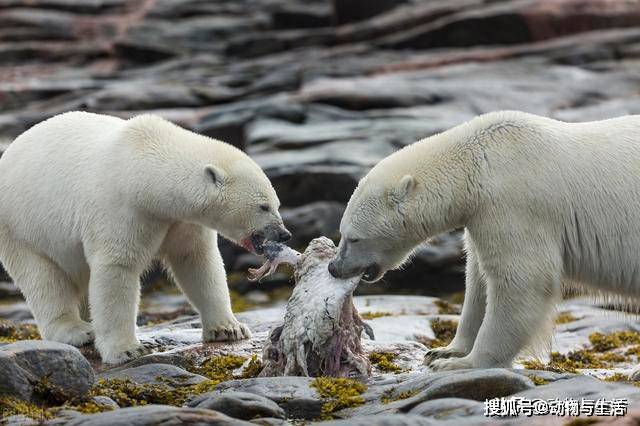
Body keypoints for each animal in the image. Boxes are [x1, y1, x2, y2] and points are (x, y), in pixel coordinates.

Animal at [0, 111, 290, 364]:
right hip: (22, 228)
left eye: (277, 203)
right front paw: (126, 350)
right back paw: (78, 330)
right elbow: (117, 268)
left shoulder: (180, 221)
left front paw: (229, 329)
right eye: (263, 206)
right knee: (44, 279)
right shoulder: (121, 210)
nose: (284, 234)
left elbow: (197, 261)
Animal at [330, 110, 640, 372]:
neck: (480, 162)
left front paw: (461, 364)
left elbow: (522, 279)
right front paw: (443, 351)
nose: (335, 267)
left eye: (353, 238)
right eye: (341, 233)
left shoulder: (513, 205)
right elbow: (477, 280)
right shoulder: (479, 215)